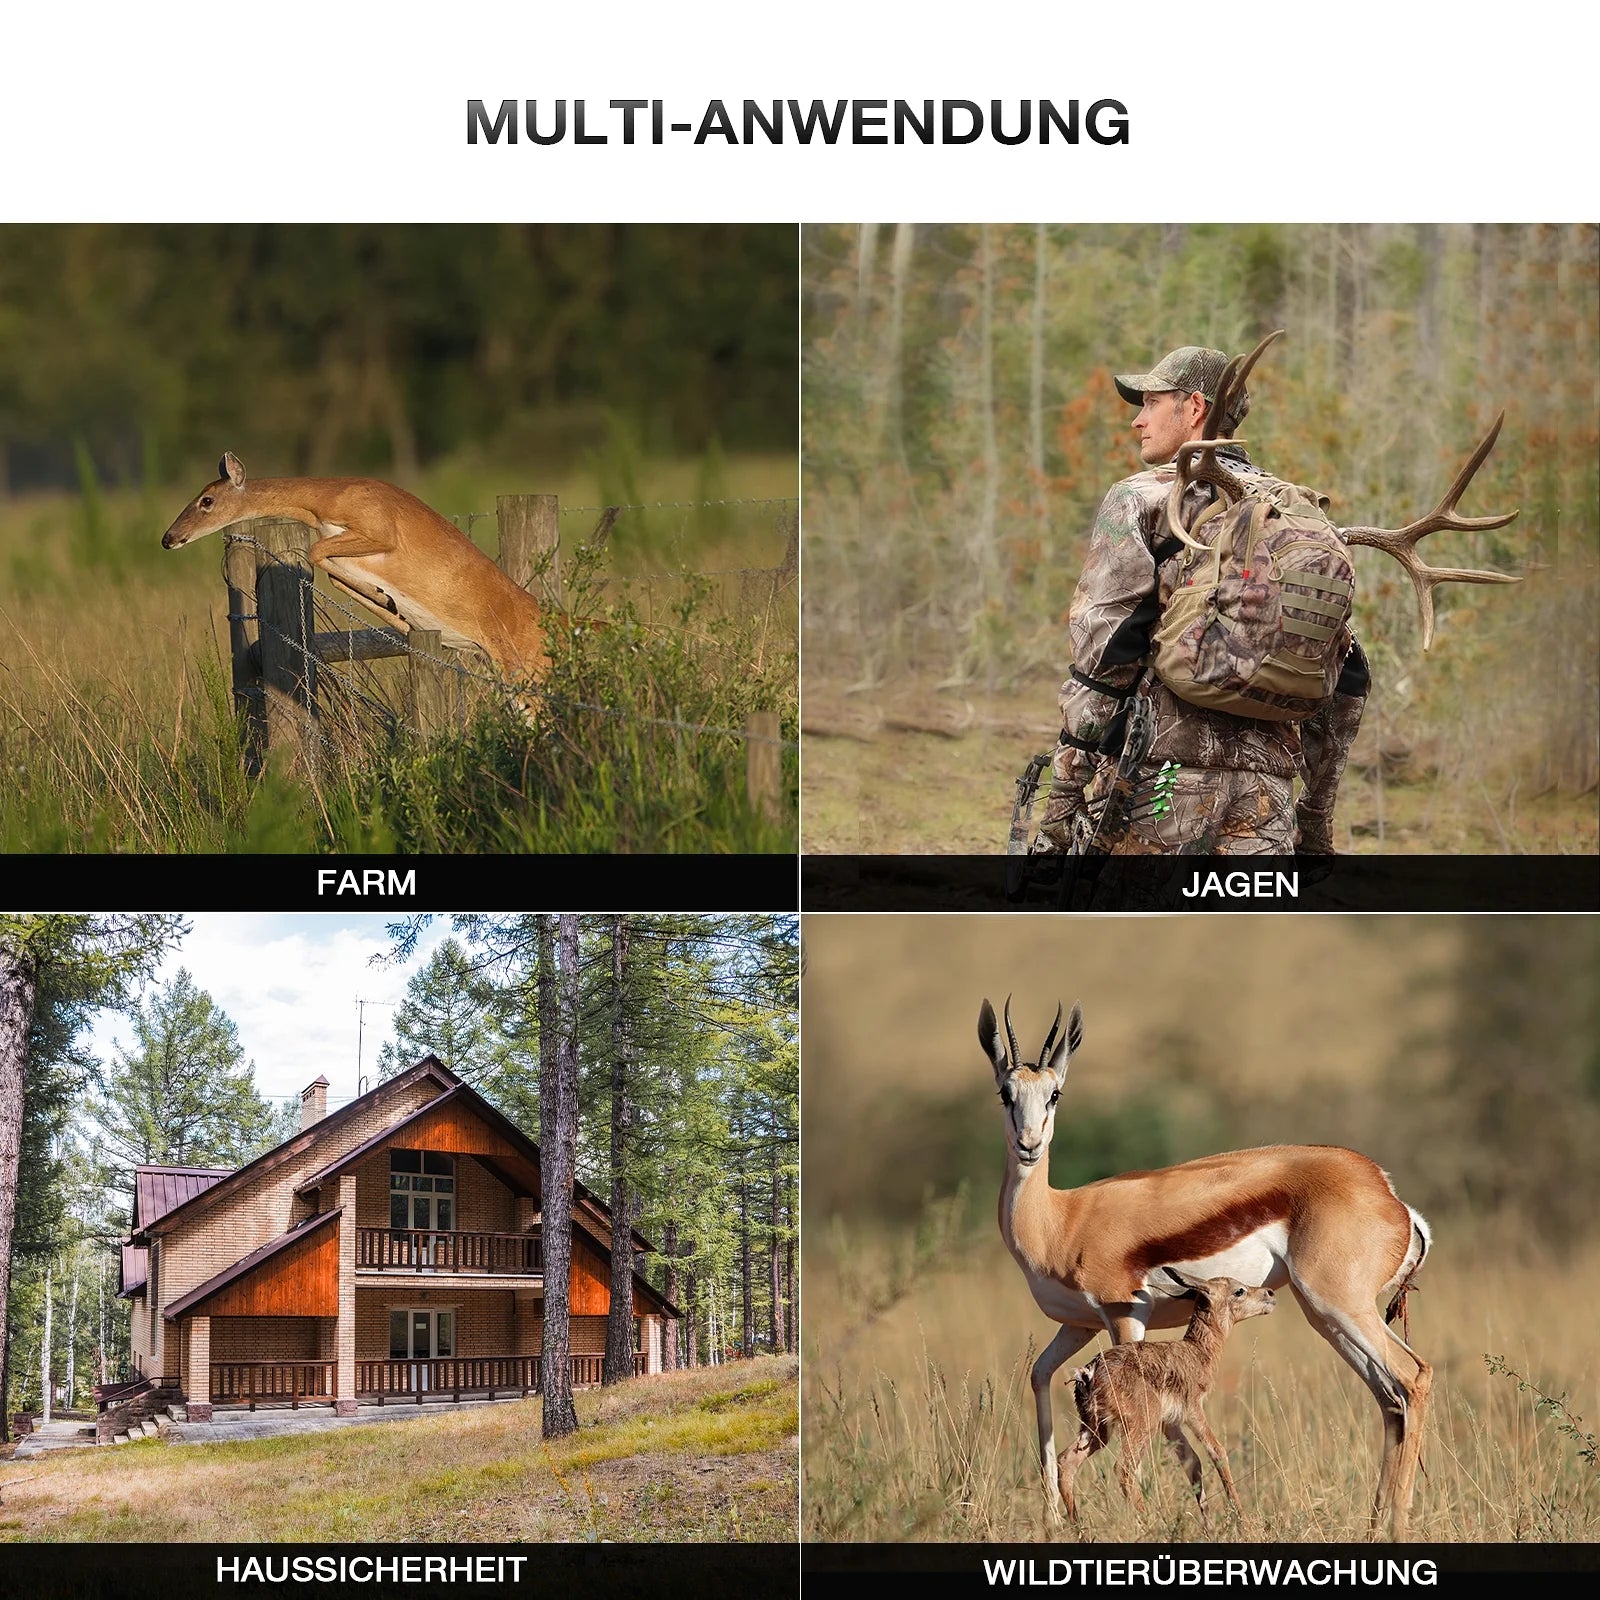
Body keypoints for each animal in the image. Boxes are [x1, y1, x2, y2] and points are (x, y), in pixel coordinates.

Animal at [161, 453, 552, 686]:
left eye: (207, 500)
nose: (168, 538)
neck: (326, 503)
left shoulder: (380, 530)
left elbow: (317, 552)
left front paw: (391, 603)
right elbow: (330, 570)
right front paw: (396, 612)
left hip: (525, 670)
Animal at [1058, 1271, 1276, 1524]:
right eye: (1239, 1290)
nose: (1270, 1293)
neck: (1197, 1352)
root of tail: (1089, 1373)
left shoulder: (1170, 1423)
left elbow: (1193, 1462)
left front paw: (1209, 1524)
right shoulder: (1193, 1411)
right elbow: (1217, 1450)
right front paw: (1242, 1521)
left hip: (1097, 1430)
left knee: (1066, 1461)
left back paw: (1078, 1524)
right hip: (1138, 1427)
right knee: (1123, 1468)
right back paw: (1150, 1521)